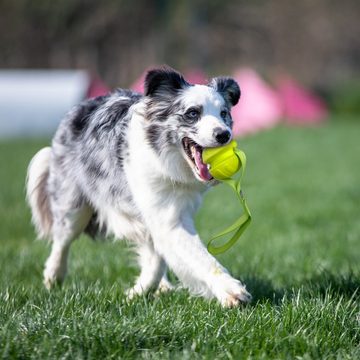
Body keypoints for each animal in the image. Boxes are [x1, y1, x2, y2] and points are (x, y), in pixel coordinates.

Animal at [26, 66, 250, 306]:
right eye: (192, 113)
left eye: (224, 114)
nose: (224, 134)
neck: (167, 161)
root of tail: (81, 106)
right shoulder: (166, 218)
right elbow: (199, 256)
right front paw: (231, 290)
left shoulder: (172, 212)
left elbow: (162, 256)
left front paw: (138, 291)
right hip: (73, 204)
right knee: (62, 239)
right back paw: (53, 277)